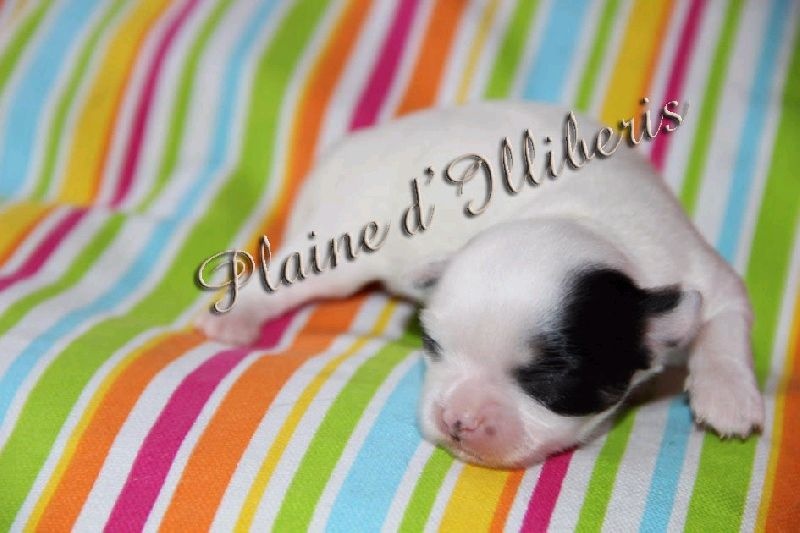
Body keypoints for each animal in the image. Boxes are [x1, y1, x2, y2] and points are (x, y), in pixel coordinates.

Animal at [196, 101, 764, 469]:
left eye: (550, 380)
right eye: (432, 345)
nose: (458, 418)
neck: (588, 224)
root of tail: (349, 149)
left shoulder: (698, 267)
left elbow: (726, 320)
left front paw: (727, 394)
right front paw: (730, 399)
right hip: (344, 238)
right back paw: (236, 317)